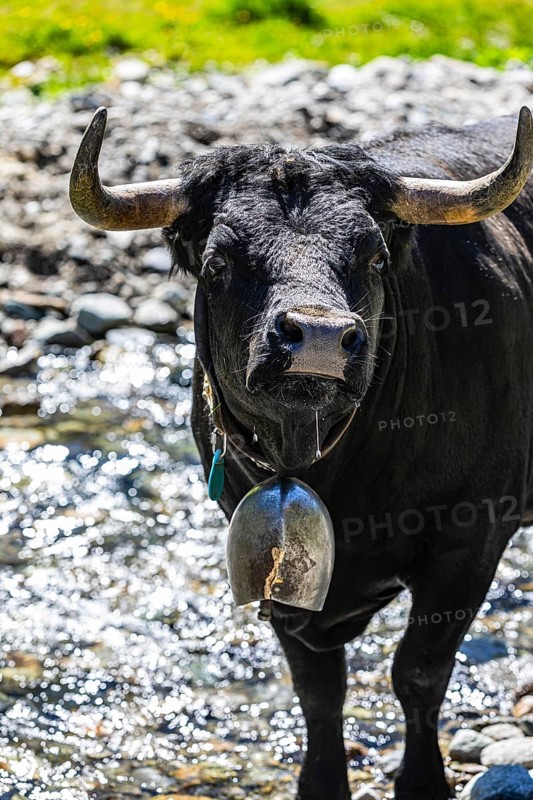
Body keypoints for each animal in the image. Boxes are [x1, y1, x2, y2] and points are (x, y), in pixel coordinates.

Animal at [70, 104, 533, 800]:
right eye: (220, 262)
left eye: (373, 256)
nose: (316, 336)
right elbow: (318, 690)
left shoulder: (472, 536)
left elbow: (418, 673)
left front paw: (423, 782)